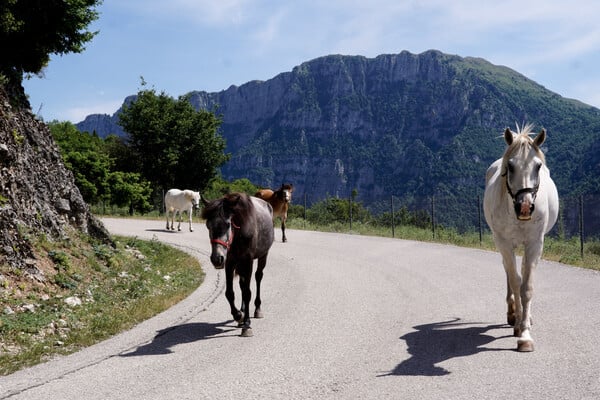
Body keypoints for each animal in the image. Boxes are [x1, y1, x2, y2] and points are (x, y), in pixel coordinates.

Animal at [203, 192, 276, 336]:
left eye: (227, 224)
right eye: (208, 225)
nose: (216, 259)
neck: (238, 234)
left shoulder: (248, 261)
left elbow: (247, 293)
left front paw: (247, 324)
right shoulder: (229, 262)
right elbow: (230, 293)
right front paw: (239, 315)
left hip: (263, 256)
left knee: (258, 277)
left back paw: (257, 309)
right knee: (242, 284)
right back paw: (242, 312)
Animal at [480, 123, 560, 352]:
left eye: (538, 166)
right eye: (511, 166)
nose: (524, 207)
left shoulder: (535, 243)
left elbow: (527, 286)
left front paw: (525, 333)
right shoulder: (504, 243)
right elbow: (515, 281)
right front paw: (517, 324)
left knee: (523, 270)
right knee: (509, 272)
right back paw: (512, 313)